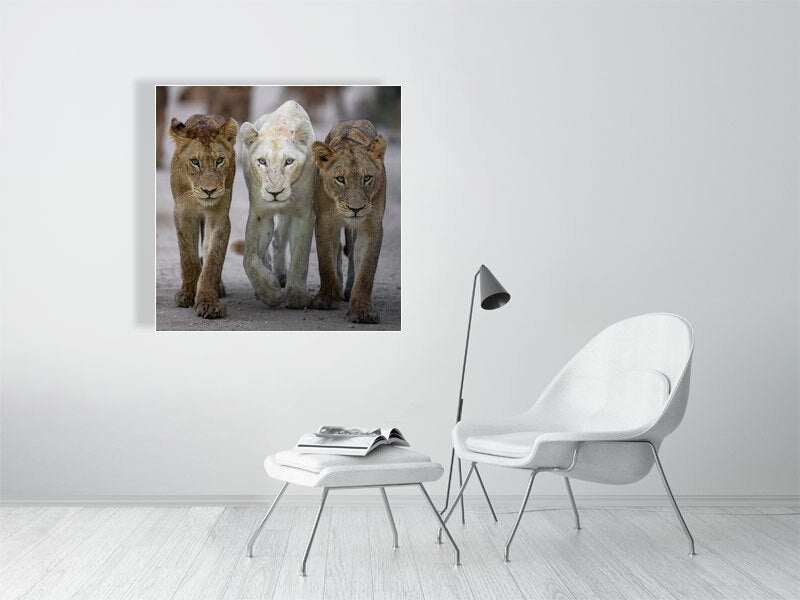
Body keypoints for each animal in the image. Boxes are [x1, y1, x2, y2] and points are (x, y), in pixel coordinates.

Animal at [169, 114, 238, 319]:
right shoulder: (183, 214)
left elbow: (213, 259)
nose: (209, 191)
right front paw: (187, 293)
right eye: (194, 161)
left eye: (219, 160)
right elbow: (188, 257)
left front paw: (208, 302)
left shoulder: (219, 216)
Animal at [240, 101, 316, 309]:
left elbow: (300, 257)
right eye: (262, 161)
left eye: (289, 161)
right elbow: (249, 259)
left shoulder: (303, 215)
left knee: (279, 239)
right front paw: (270, 293)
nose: (275, 193)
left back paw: (282, 275)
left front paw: (297, 296)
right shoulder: (259, 214)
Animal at [311, 120, 387, 324]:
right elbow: (325, 262)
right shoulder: (324, 223)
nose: (356, 209)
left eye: (367, 178)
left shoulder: (372, 226)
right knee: (338, 250)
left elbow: (366, 270)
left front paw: (362, 309)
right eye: (340, 179)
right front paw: (327, 297)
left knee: (352, 255)